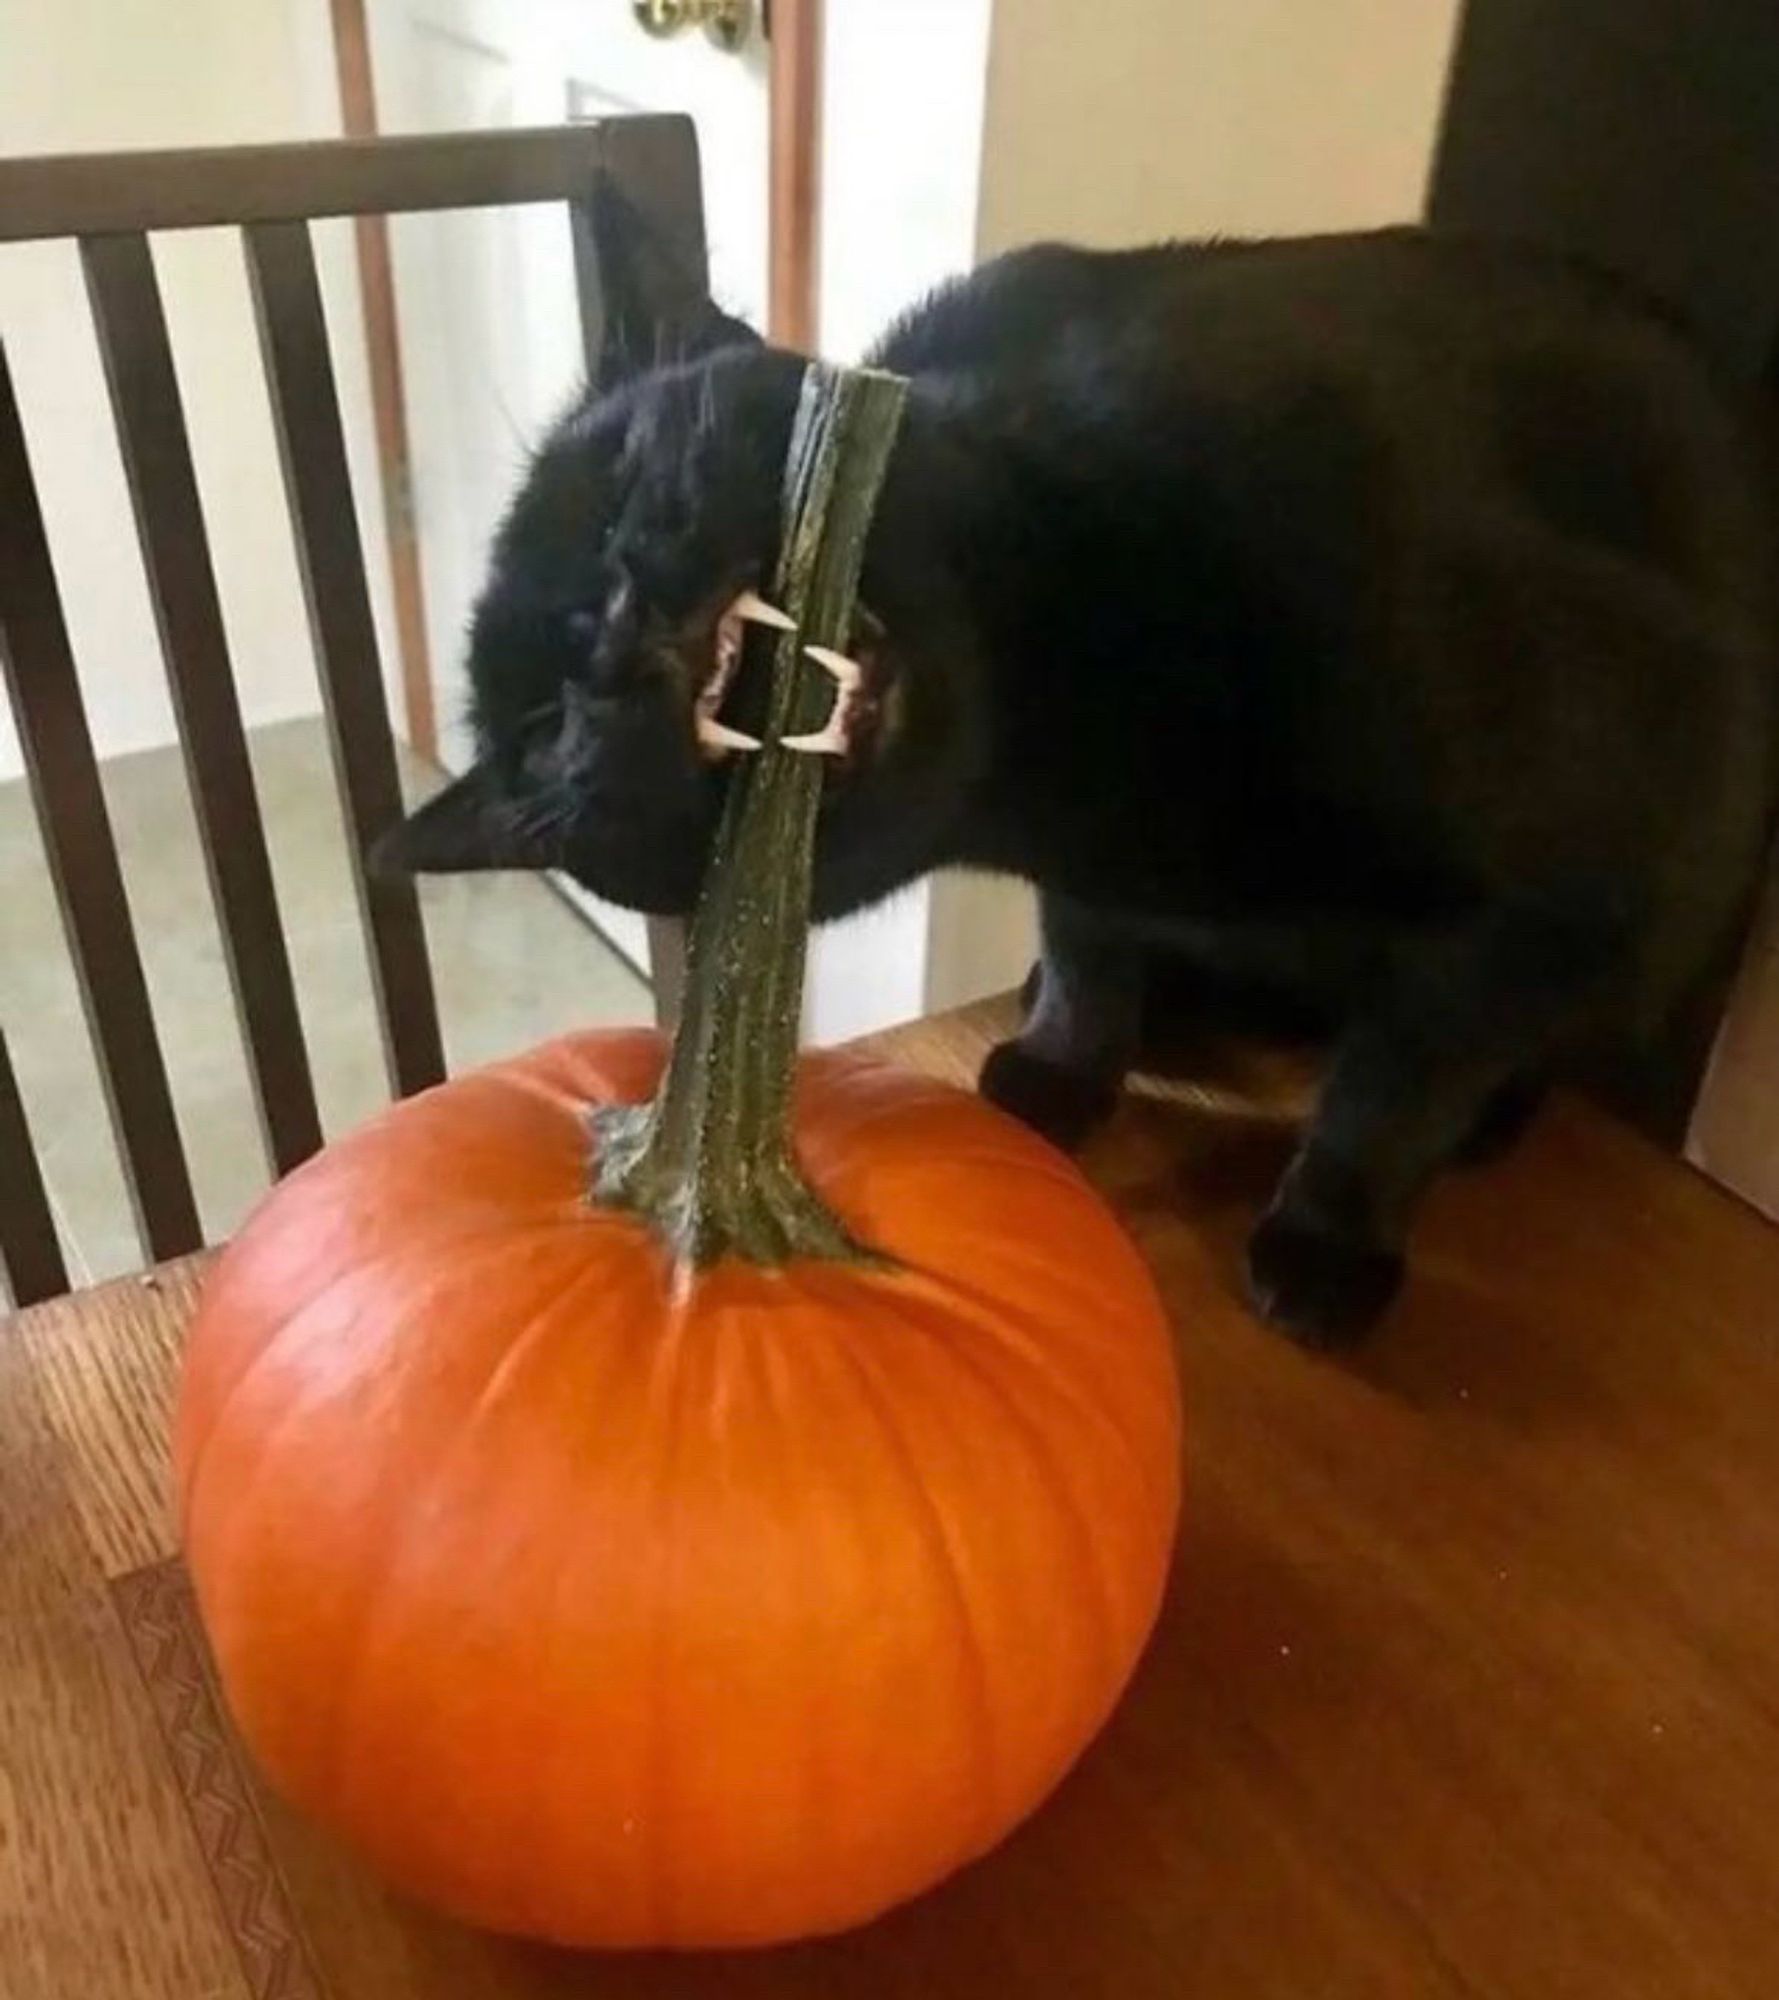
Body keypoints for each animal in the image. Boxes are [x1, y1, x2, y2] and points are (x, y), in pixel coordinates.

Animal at [385, 184, 1775, 1344]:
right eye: (541, 734)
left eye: (620, 482)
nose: (607, 632)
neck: (1063, 758)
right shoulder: (1097, 876)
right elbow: (1094, 953)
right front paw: (1058, 1063)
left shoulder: (1570, 865)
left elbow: (1397, 1087)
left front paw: (1327, 1241)